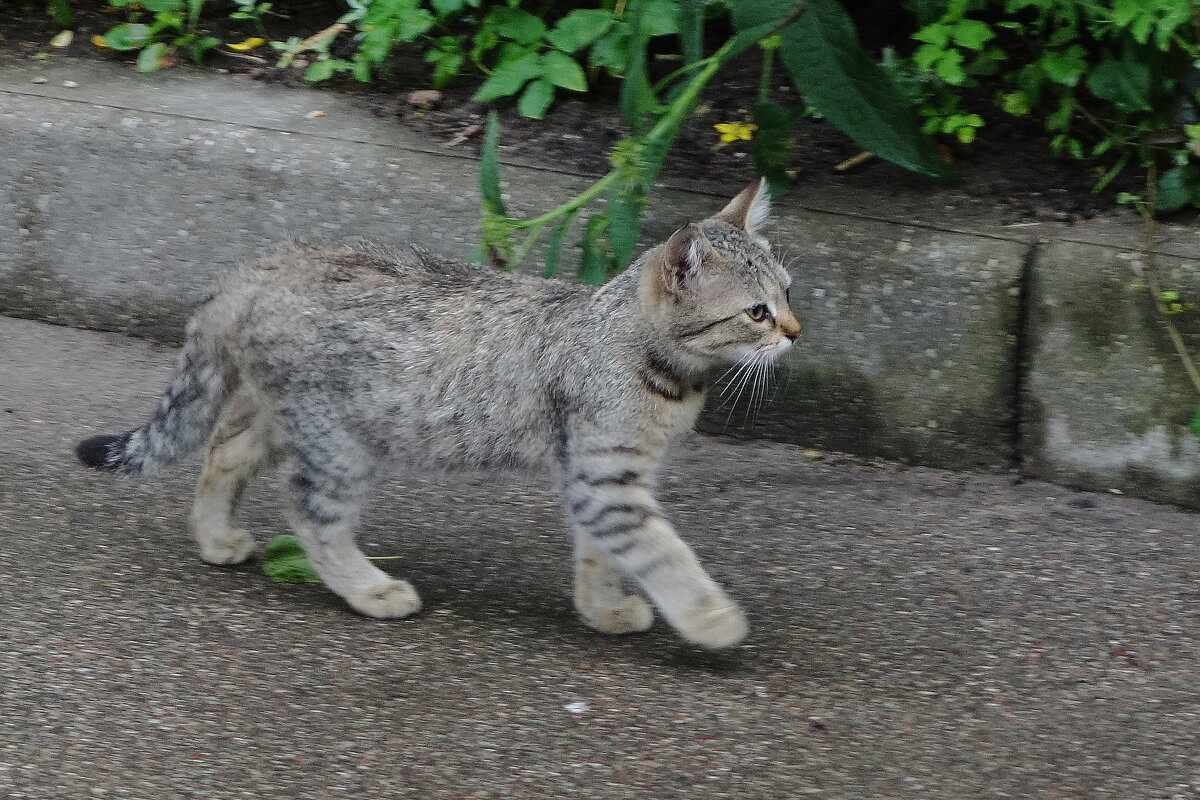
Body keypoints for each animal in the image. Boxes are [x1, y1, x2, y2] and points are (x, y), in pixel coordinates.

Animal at [79, 181, 801, 652]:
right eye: (756, 312)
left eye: (789, 293)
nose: (796, 331)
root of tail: (265, 263)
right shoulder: (605, 478)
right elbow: (665, 554)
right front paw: (711, 619)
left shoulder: (606, 478)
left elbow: (605, 555)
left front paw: (602, 610)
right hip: (338, 441)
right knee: (311, 514)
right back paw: (368, 588)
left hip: (286, 411)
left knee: (223, 448)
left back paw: (215, 536)